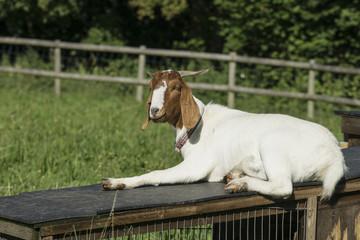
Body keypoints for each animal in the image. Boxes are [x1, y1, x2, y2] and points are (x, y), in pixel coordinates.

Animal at [101, 69, 346, 201]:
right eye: (152, 86)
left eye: (175, 88)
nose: (154, 111)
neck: (197, 126)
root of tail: (335, 152)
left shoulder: (197, 166)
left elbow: (154, 174)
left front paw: (115, 182)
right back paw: (236, 176)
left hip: (272, 145)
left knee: (283, 186)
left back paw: (241, 183)